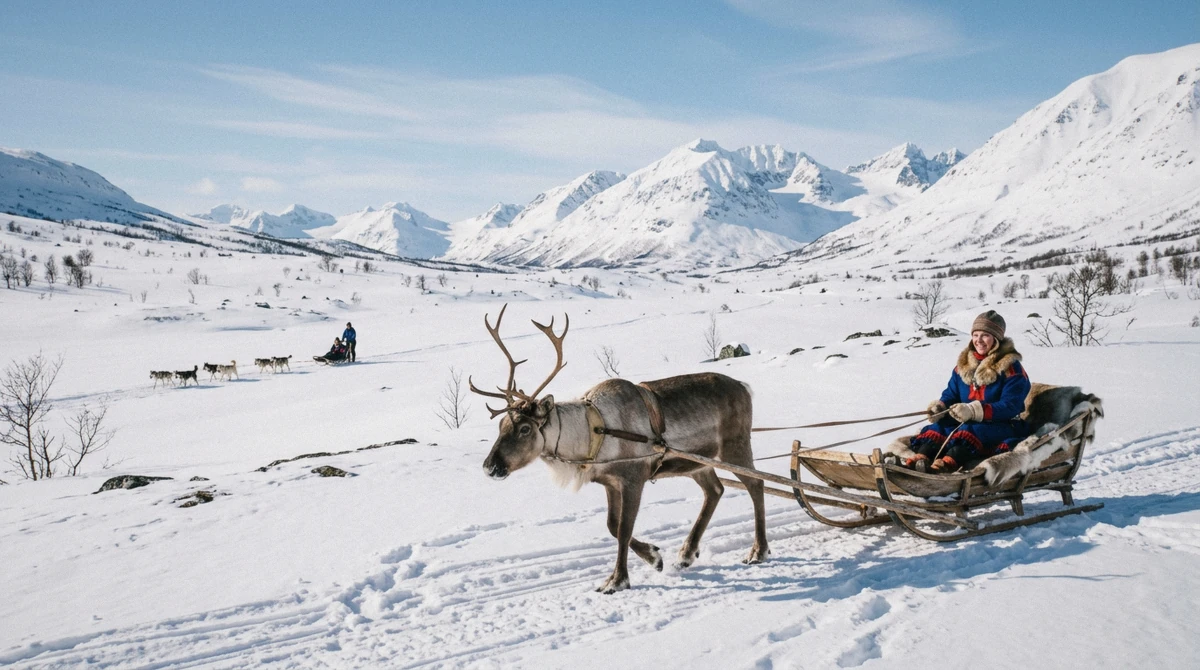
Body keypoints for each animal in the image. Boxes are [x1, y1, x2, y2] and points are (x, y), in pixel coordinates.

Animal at [473, 304, 768, 594]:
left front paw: (617, 580)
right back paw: (686, 553)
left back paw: (758, 551)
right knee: (715, 491)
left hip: (734, 446)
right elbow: (612, 526)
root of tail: (745, 388)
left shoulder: (633, 479)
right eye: (500, 424)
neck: (592, 433)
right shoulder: (610, 482)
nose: (490, 467)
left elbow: (624, 529)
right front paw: (654, 556)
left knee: (756, 484)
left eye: (525, 428)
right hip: (698, 463)